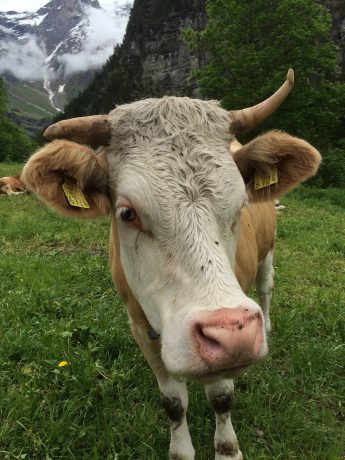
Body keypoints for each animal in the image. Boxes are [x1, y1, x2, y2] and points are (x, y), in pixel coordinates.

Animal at [21, 69, 320, 460]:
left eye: (240, 205)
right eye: (127, 212)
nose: (233, 333)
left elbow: (221, 396)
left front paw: (227, 449)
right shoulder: (139, 326)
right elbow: (174, 402)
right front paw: (180, 448)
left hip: (267, 253)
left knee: (266, 286)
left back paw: (267, 321)